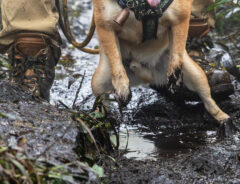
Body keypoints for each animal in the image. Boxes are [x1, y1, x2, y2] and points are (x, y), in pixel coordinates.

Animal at [91, 0, 232, 137]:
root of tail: (150, 75)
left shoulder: (180, 17)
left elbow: (177, 48)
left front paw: (174, 72)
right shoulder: (106, 25)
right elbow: (115, 58)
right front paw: (122, 87)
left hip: (195, 75)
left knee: (208, 101)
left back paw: (223, 119)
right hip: (98, 83)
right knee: (101, 104)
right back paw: (102, 121)